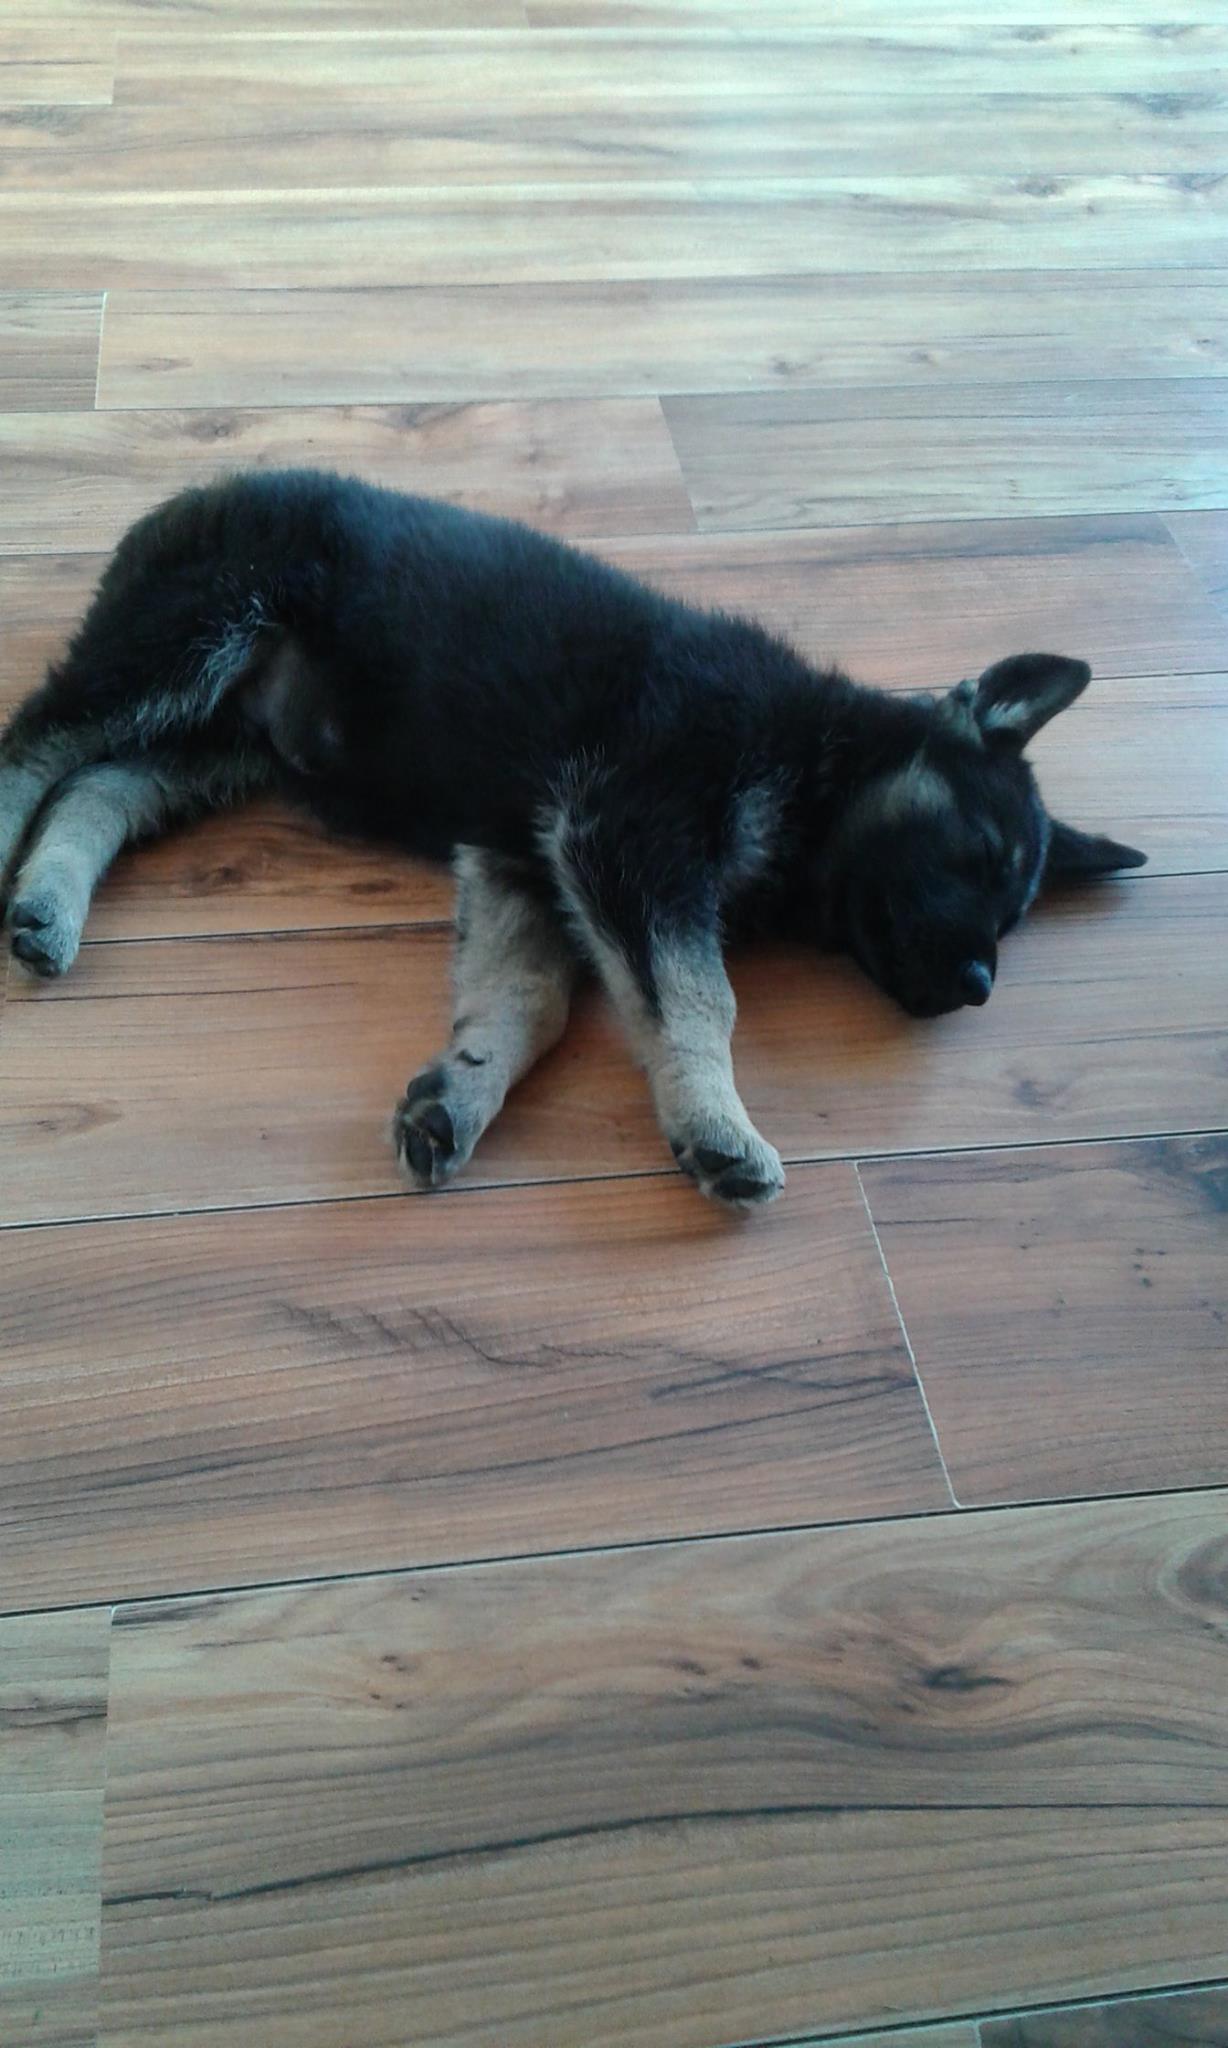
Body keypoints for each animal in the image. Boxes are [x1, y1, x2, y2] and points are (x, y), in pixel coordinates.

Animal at [0, 468, 1145, 1207]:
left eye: (1014, 913)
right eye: (981, 852)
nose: (981, 986)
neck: (814, 761)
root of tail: (187, 498)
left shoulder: (529, 855)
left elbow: (528, 999)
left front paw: (461, 1091)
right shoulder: (625, 829)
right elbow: (700, 997)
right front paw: (717, 1123)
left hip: (229, 739)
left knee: (100, 783)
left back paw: (47, 905)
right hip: (187, 638)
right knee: (36, 740)